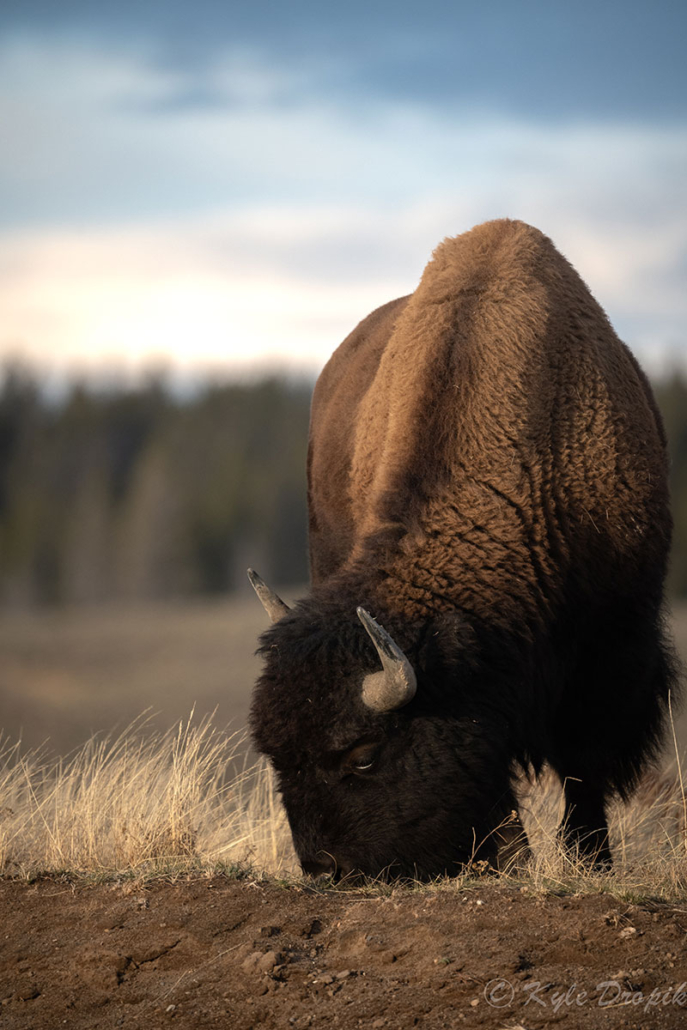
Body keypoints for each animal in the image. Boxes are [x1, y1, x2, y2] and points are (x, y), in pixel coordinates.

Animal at [249, 218, 677, 880]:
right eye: (275, 755)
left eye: (364, 755)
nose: (324, 867)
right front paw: (515, 860)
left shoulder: (614, 639)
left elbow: (584, 758)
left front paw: (591, 860)